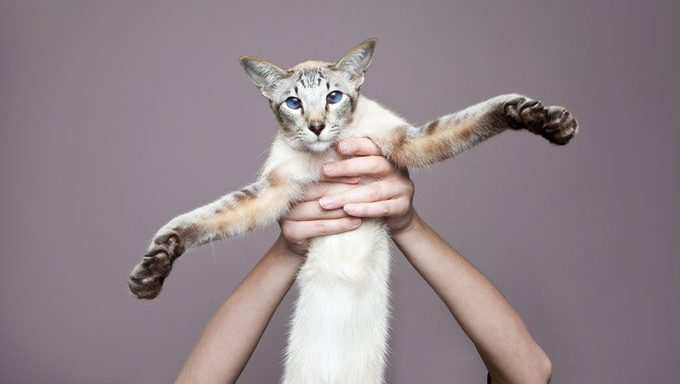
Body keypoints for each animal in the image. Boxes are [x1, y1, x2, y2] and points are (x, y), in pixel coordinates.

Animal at [129, 37, 580, 382]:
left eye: (333, 97)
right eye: (293, 103)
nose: (315, 127)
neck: (327, 153)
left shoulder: (406, 141)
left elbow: (482, 113)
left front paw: (547, 120)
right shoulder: (272, 191)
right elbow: (199, 219)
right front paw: (149, 274)